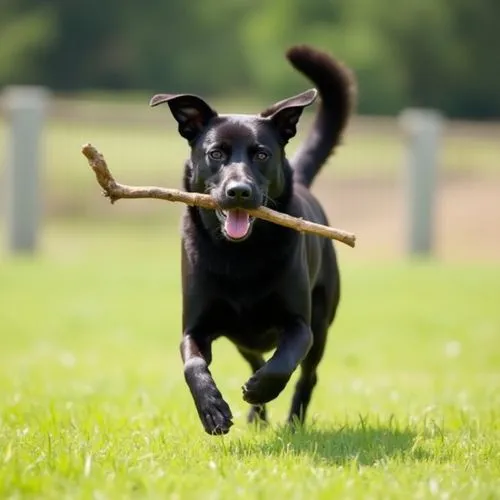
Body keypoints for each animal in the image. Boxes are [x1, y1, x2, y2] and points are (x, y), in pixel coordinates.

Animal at [150, 44, 354, 434]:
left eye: (262, 154)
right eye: (215, 153)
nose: (239, 192)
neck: (239, 254)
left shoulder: (300, 325)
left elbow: (283, 361)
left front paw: (261, 389)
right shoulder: (195, 328)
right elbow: (193, 365)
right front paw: (213, 409)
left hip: (322, 324)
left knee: (306, 375)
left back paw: (292, 420)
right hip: (242, 336)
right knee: (255, 357)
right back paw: (256, 416)